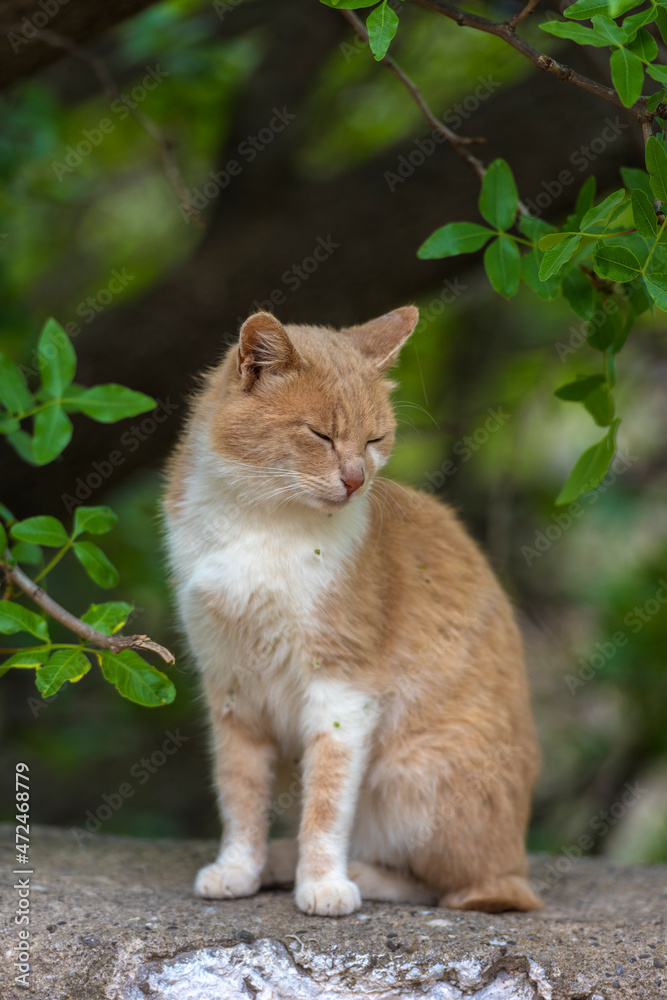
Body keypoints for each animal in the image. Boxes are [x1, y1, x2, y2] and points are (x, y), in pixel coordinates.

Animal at [164, 306, 540, 916]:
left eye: (374, 439)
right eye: (319, 434)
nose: (356, 480)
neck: (262, 525)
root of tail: (517, 861)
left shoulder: (343, 692)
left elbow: (327, 800)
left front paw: (322, 882)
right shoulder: (231, 689)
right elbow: (239, 792)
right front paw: (238, 868)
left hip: (414, 778)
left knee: (456, 886)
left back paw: (346, 871)